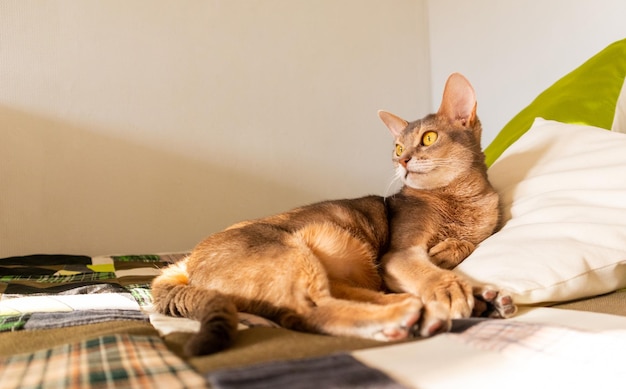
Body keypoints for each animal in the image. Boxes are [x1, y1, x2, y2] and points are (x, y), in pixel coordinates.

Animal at [150, 72, 512, 354]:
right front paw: (449, 287)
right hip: (290, 252)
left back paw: (476, 300)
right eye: (397, 147)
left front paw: (451, 254)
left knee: (357, 297)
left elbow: (464, 245)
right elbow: (427, 270)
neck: (461, 198)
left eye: (429, 138)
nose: (403, 160)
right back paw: (409, 317)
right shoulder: (400, 253)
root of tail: (186, 262)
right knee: (310, 312)